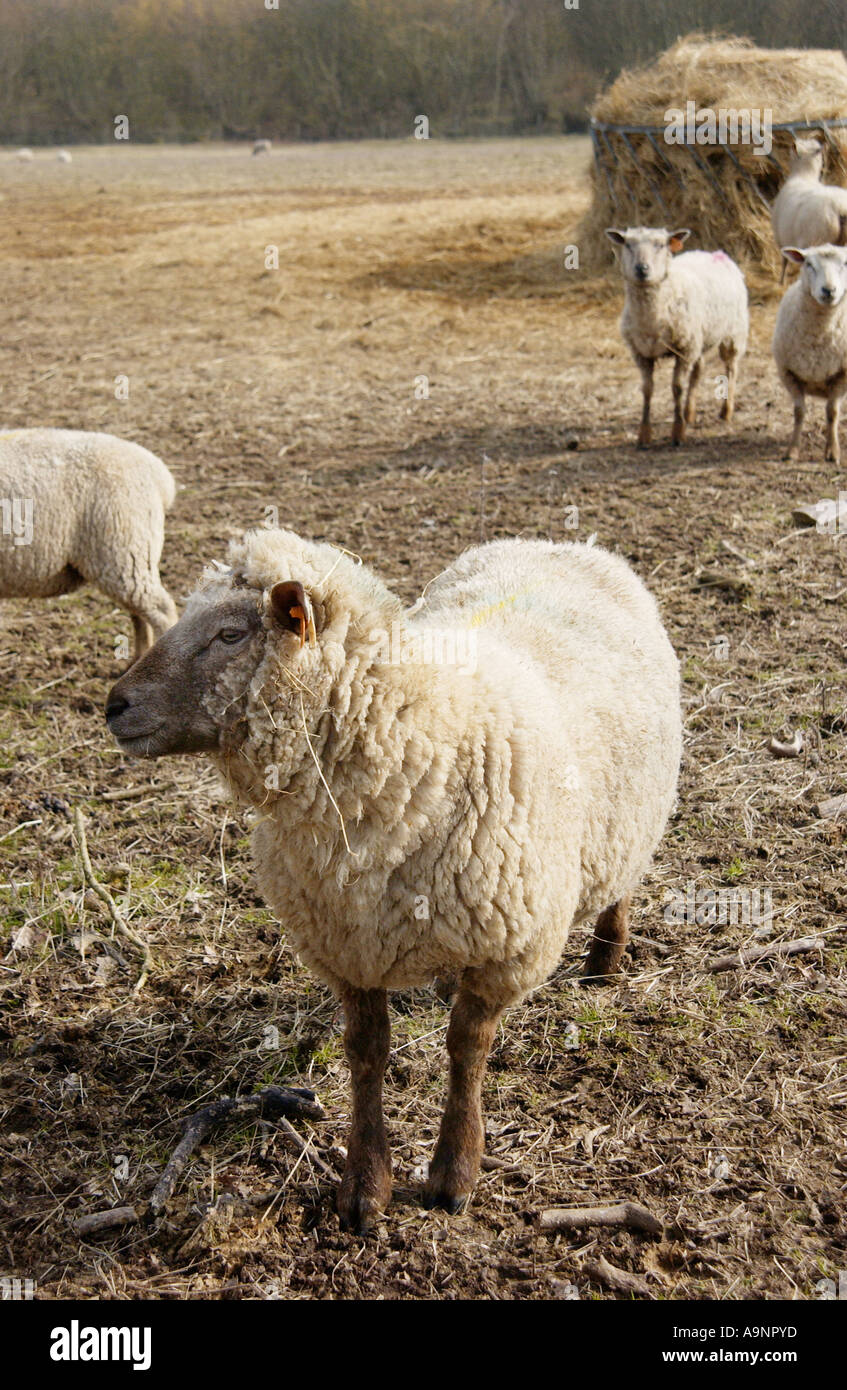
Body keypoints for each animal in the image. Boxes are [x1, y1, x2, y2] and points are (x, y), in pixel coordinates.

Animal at [105, 525, 681, 1234]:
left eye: (231, 634)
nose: (114, 705)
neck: (419, 740)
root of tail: (565, 543)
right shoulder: (346, 944)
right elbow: (367, 1055)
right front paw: (364, 1186)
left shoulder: (507, 948)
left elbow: (467, 1052)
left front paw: (454, 1174)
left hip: (631, 815)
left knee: (621, 882)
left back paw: (605, 957)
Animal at [603, 226, 751, 444]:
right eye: (628, 244)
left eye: (660, 245)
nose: (642, 269)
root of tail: (715, 253)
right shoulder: (641, 352)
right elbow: (647, 389)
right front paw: (644, 434)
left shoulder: (683, 350)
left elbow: (677, 387)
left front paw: (678, 431)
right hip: (698, 338)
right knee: (698, 370)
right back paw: (689, 412)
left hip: (733, 332)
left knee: (731, 368)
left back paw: (726, 411)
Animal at [767, 139, 845, 283]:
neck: (804, 175)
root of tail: (840, 208)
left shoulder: (780, 237)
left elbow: (784, 261)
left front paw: (781, 281)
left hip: (817, 240)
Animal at [773, 247, 845, 464]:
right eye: (809, 264)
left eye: (845, 264)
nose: (829, 290)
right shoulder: (789, 373)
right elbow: (799, 413)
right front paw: (792, 451)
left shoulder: (842, 375)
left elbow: (832, 413)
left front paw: (833, 452)